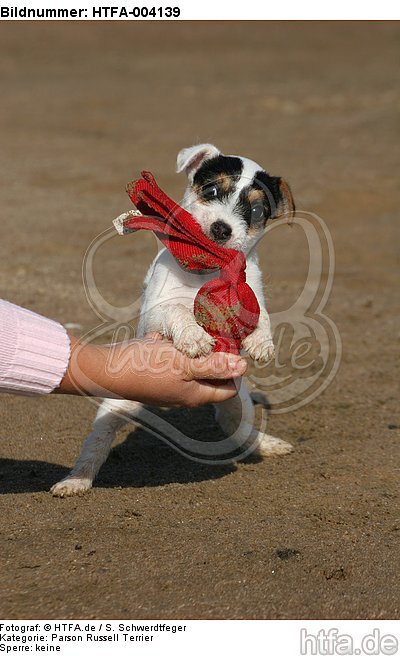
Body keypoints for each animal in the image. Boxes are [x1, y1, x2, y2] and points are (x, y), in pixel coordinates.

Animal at [51, 145, 296, 498]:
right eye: (211, 191)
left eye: (255, 210)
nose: (222, 228)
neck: (207, 269)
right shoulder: (158, 308)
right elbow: (177, 311)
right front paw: (194, 338)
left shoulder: (253, 293)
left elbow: (260, 315)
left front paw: (262, 342)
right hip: (116, 404)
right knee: (96, 443)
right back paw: (76, 480)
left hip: (238, 403)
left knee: (241, 432)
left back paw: (269, 444)